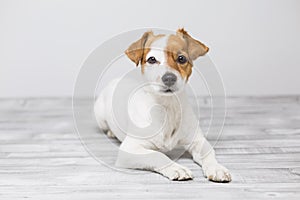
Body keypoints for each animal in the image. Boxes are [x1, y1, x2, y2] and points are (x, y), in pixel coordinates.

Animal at [94, 28, 232, 183]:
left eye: (181, 58)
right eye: (152, 59)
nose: (169, 78)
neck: (167, 106)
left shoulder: (198, 140)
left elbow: (208, 153)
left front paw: (217, 168)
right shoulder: (129, 149)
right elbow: (158, 155)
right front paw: (176, 168)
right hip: (100, 115)